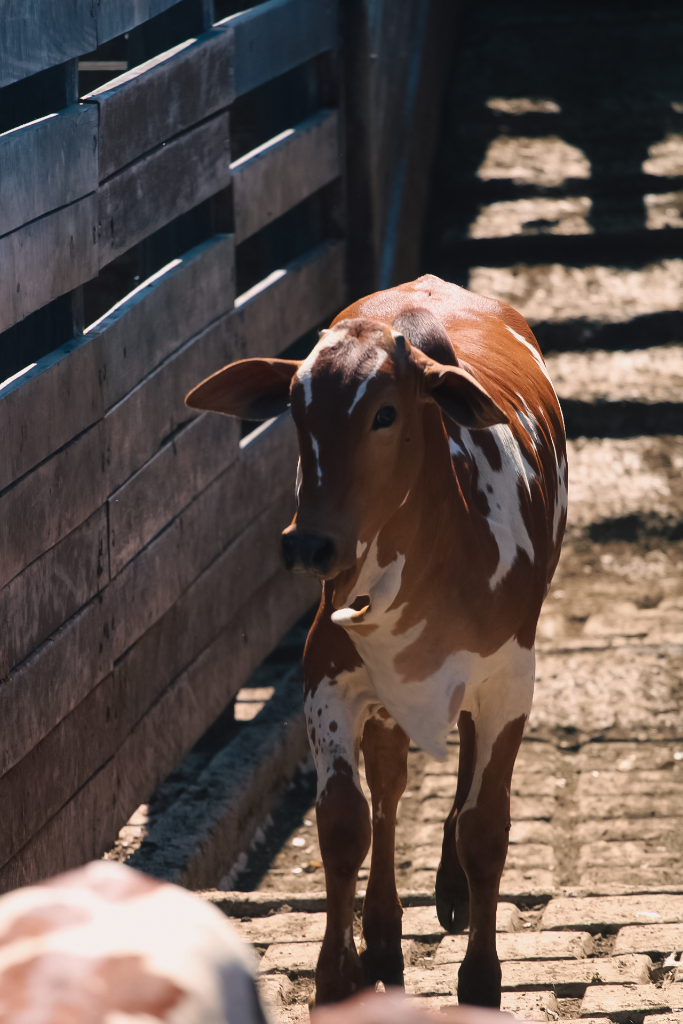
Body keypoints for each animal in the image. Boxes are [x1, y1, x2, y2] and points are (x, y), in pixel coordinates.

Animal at [187, 272, 565, 1007]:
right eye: (295, 413)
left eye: (385, 414)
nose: (309, 543)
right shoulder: (327, 672)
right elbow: (344, 823)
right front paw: (336, 978)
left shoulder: (509, 680)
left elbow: (485, 827)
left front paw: (481, 979)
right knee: (388, 785)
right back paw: (386, 936)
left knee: (461, 766)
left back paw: (447, 891)